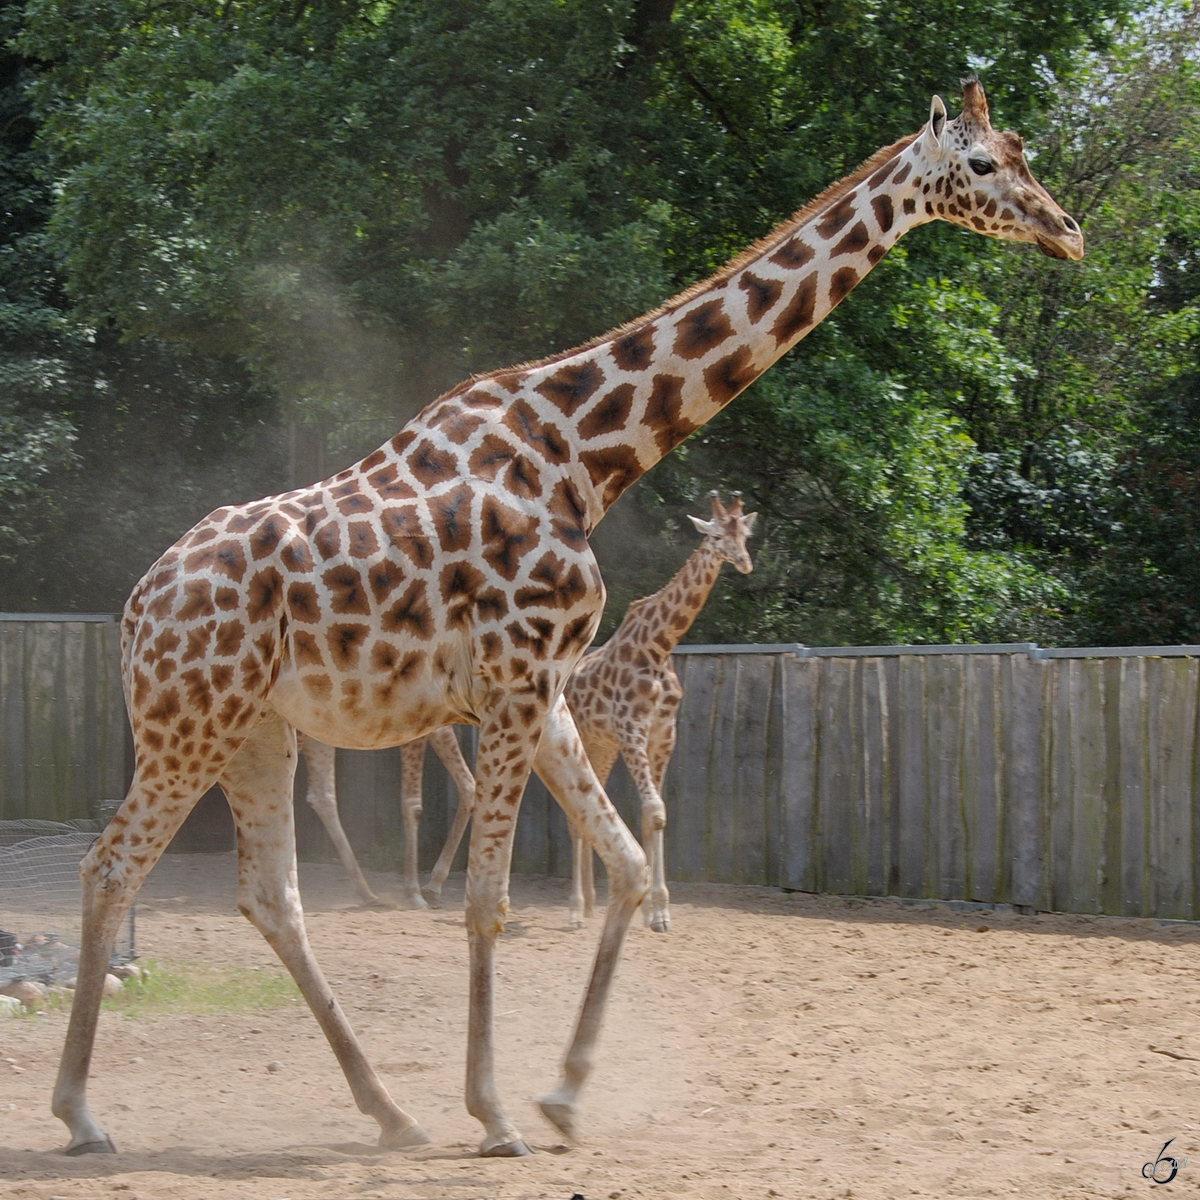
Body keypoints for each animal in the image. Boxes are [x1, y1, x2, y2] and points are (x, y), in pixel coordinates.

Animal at [566, 487, 753, 926]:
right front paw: (655, 910)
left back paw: (591, 904)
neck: (658, 647)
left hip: (602, 744)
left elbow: (657, 815)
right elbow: (653, 811)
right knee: (575, 814)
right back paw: (576, 910)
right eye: (716, 536)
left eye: (745, 536)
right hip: (586, 736)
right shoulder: (632, 730)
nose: (744, 562)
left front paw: (658, 910)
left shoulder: (663, 735)